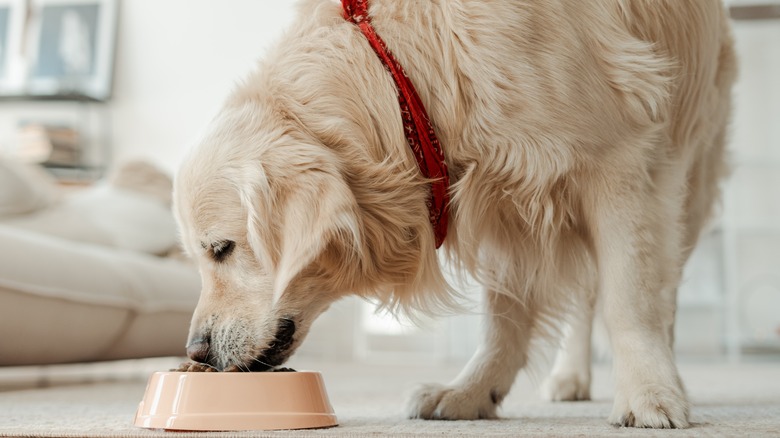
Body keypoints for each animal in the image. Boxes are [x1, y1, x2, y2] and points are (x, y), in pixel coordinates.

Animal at [172, 0, 736, 426]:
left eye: (222, 249)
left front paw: (648, 395)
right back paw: (569, 377)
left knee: (656, 288)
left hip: (688, 175)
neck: (403, 76)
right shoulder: (507, 199)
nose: (196, 351)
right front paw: (473, 392)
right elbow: (503, 319)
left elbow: (629, 300)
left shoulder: (619, 161)